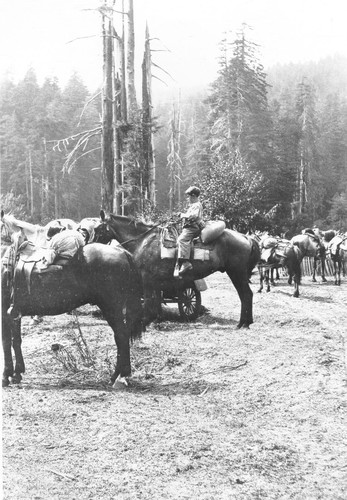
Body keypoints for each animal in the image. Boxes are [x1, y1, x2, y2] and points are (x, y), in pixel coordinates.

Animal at [1, 238, 143, 386]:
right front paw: (17, 373)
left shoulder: (4, 313)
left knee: (121, 335)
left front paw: (6, 376)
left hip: (111, 307)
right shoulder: (14, 314)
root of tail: (122, 252)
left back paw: (117, 376)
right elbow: (16, 340)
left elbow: (6, 342)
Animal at [95, 210, 260, 328]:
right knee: (245, 295)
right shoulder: (155, 282)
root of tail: (246, 237)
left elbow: (148, 302)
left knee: (246, 295)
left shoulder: (147, 280)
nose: (90, 243)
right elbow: (156, 302)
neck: (144, 241)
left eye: (97, 228)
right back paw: (244, 322)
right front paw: (156, 320)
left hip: (237, 273)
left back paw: (244, 323)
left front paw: (145, 322)